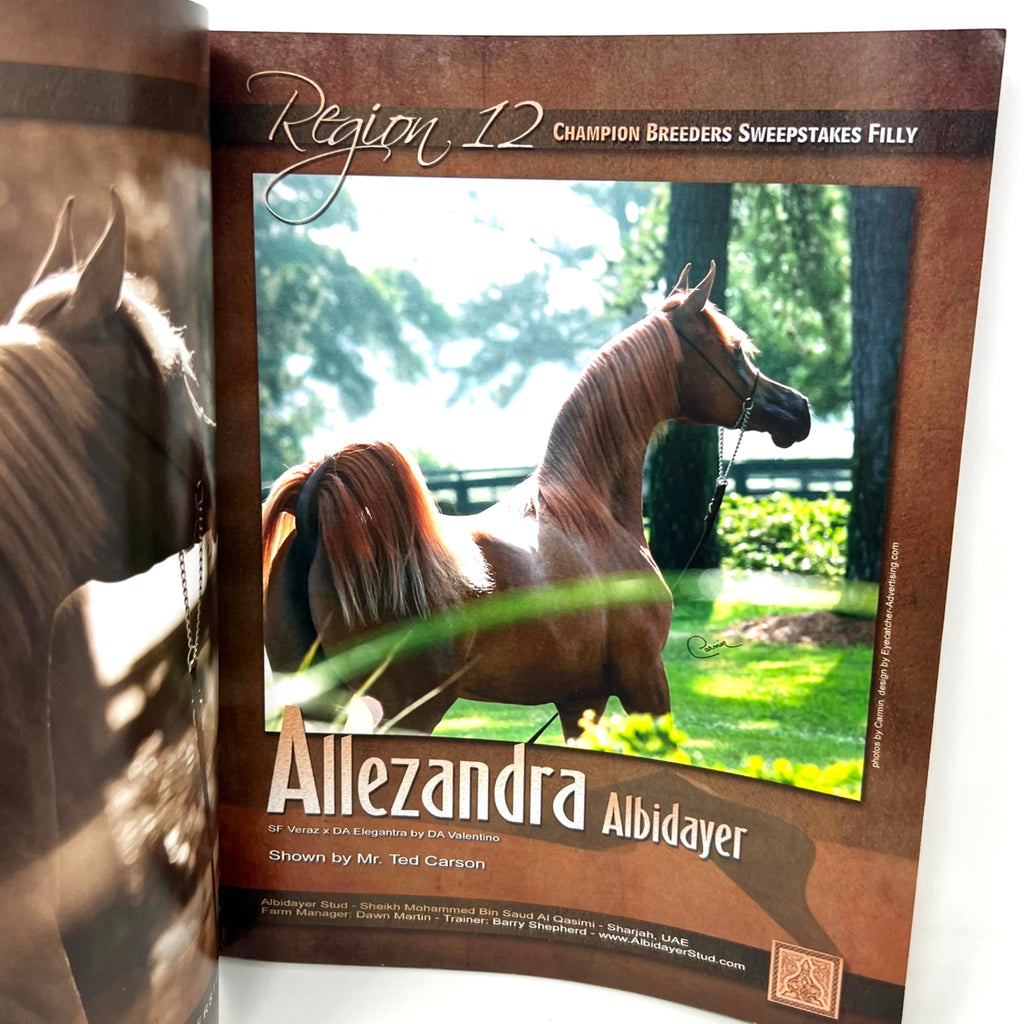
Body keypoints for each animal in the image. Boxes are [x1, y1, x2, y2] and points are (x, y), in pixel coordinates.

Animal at [262, 263, 810, 739]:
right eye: (735, 351)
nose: (797, 409)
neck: (590, 513)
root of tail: (315, 518)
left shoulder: (579, 698)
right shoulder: (646, 682)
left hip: (318, 705)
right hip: (406, 710)